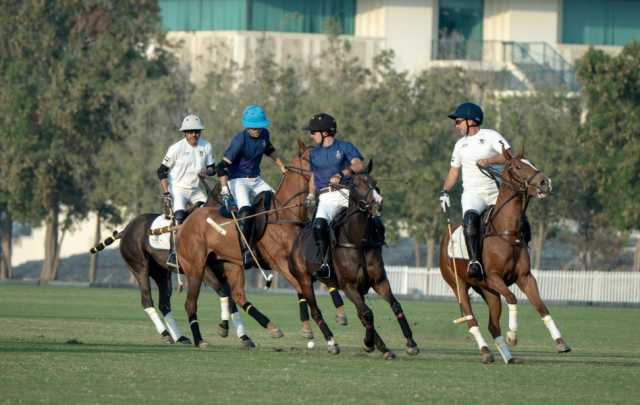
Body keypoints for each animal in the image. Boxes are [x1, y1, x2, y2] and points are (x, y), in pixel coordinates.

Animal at [89, 181, 255, 346]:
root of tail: (125, 230)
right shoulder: (202, 270)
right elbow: (223, 292)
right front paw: (223, 329)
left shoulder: (222, 272)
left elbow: (231, 299)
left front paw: (244, 337)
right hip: (139, 266)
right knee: (147, 300)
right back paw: (166, 334)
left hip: (161, 272)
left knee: (164, 303)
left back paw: (180, 337)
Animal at [288, 163, 420, 358]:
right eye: (356, 185)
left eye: (375, 182)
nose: (378, 202)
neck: (357, 241)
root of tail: (298, 238)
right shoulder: (349, 286)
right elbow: (368, 313)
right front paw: (368, 343)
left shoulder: (378, 281)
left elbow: (394, 306)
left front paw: (410, 343)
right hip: (304, 280)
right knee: (317, 312)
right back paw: (332, 343)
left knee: (362, 314)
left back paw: (383, 348)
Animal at [440, 146, 568, 362]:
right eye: (517, 166)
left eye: (531, 162)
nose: (545, 182)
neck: (506, 231)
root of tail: (444, 238)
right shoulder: (494, 277)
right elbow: (513, 298)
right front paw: (513, 336)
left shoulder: (525, 277)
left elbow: (541, 306)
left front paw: (560, 342)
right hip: (459, 285)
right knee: (471, 320)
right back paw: (486, 351)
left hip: (488, 291)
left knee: (493, 325)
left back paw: (508, 357)